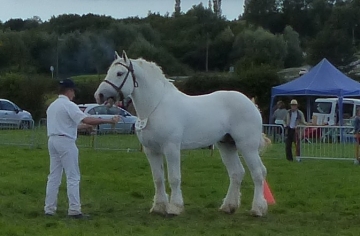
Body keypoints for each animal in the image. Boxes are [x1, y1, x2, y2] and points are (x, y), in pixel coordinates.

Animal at [94, 50, 268, 217]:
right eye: (109, 71)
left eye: (119, 73)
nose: (99, 95)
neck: (155, 107)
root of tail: (251, 103)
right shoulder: (151, 151)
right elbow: (158, 178)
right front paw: (159, 207)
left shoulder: (171, 148)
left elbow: (174, 178)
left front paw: (174, 208)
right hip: (227, 145)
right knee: (236, 173)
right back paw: (228, 207)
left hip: (247, 146)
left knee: (258, 173)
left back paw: (258, 209)